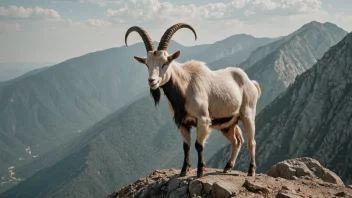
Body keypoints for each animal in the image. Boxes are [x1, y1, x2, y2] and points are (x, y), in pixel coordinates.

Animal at [124, 23, 262, 178]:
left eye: (165, 63)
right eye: (147, 64)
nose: (152, 81)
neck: (185, 87)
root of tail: (251, 83)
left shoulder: (203, 120)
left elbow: (198, 145)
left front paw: (200, 171)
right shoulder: (182, 122)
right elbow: (186, 146)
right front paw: (184, 170)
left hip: (247, 114)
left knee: (251, 141)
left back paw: (251, 170)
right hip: (228, 124)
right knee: (237, 141)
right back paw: (227, 167)